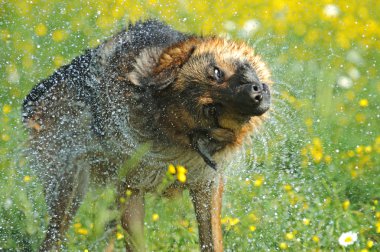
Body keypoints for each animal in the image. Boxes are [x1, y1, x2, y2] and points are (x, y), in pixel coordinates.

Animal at [22, 20, 272, 252]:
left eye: (218, 73)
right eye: (213, 110)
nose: (257, 94)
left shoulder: (206, 183)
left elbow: (211, 239)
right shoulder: (132, 189)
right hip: (70, 188)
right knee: (55, 235)